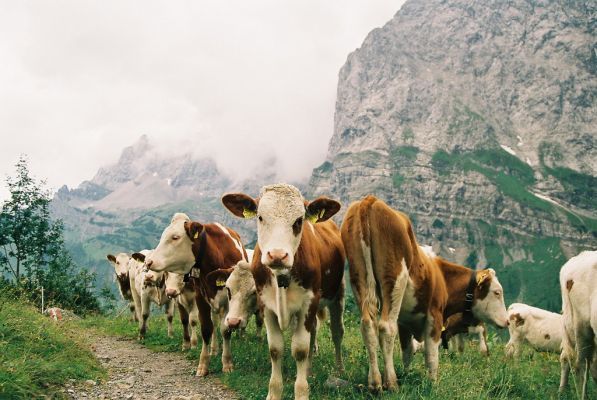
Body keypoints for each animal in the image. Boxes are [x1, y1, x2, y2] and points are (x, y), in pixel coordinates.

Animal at [144, 211, 247, 376]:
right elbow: (206, 329)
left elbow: (225, 330)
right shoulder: (200, 298)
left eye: (175, 237)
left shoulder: (229, 299)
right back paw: (214, 349)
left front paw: (227, 363)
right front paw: (203, 364)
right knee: (214, 324)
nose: (148, 262)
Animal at [222, 184, 344, 400]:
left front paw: (302, 393)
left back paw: (338, 371)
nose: (277, 255)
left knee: (337, 332)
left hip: (337, 295)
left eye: (299, 220)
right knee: (314, 330)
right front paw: (274, 392)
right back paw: (309, 370)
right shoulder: (266, 306)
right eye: (260, 217)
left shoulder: (308, 303)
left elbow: (300, 350)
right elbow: (275, 349)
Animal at [340, 196, 508, 390]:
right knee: (386, 327)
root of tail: (370, 200)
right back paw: (391, 383)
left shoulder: (405, 322)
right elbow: (431, 356)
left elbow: (407, 352)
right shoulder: (434, 316)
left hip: (358, 276)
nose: (507, 321)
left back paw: (375, 383)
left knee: (368, 325)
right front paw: (432, 384)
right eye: (497, 292)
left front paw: (406, 374)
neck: (442, 277)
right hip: (395, 279)